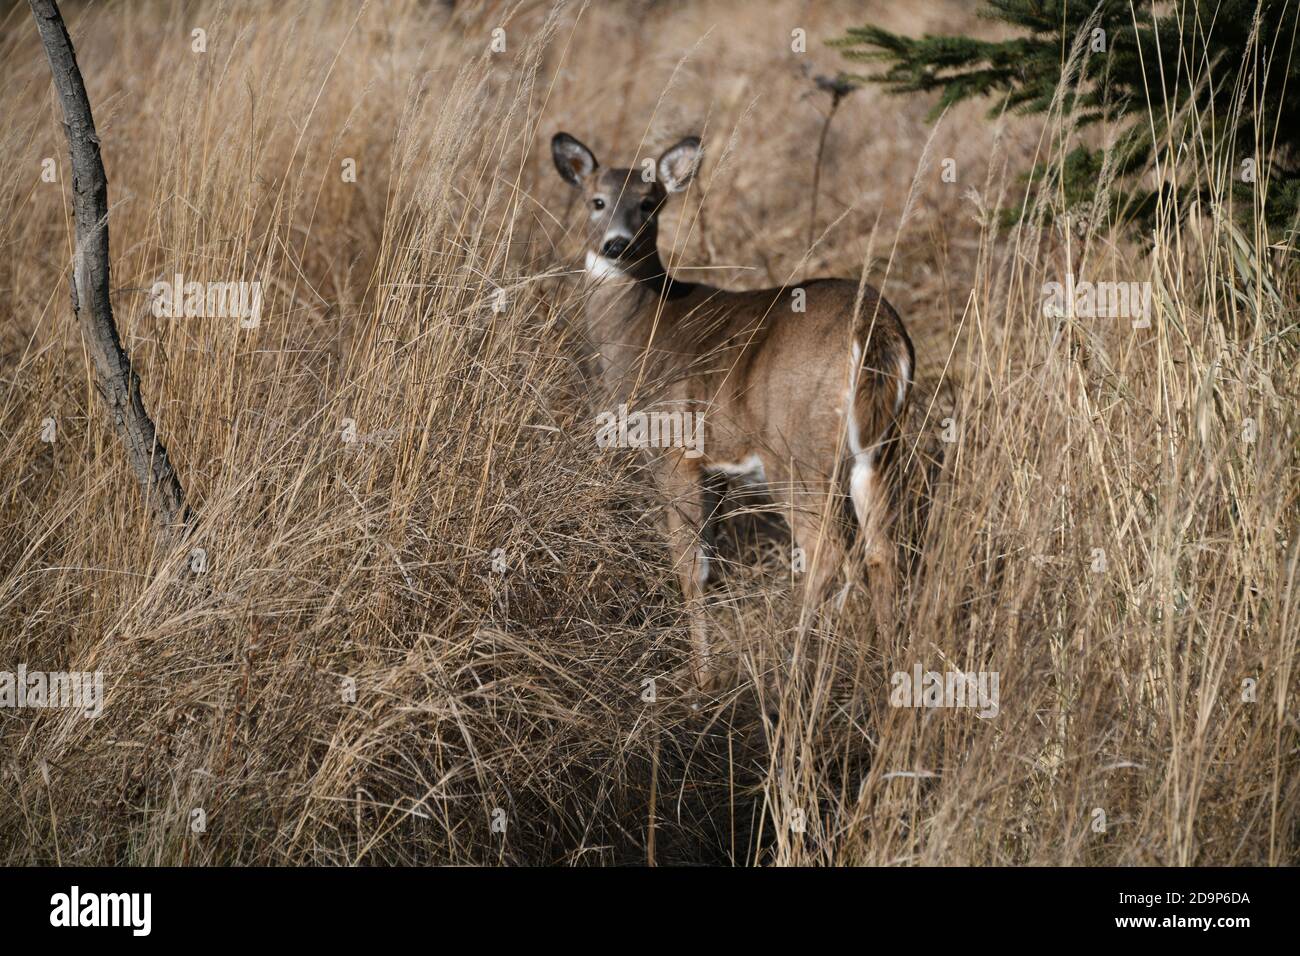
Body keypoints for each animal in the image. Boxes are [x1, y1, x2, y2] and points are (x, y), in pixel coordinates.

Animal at [551, 130, 915, 691]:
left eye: (648, 204)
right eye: (596, 200)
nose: (615, 243)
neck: (642, 330)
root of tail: (875, 328)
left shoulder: (673, 450)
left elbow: (688, 566)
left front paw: (700, 678)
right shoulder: (716, 470)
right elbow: (711, 562)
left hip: (794, 449)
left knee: (827, 551)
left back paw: (792, 668)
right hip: (880, 450)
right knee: (882, 549)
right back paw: (888, 671)